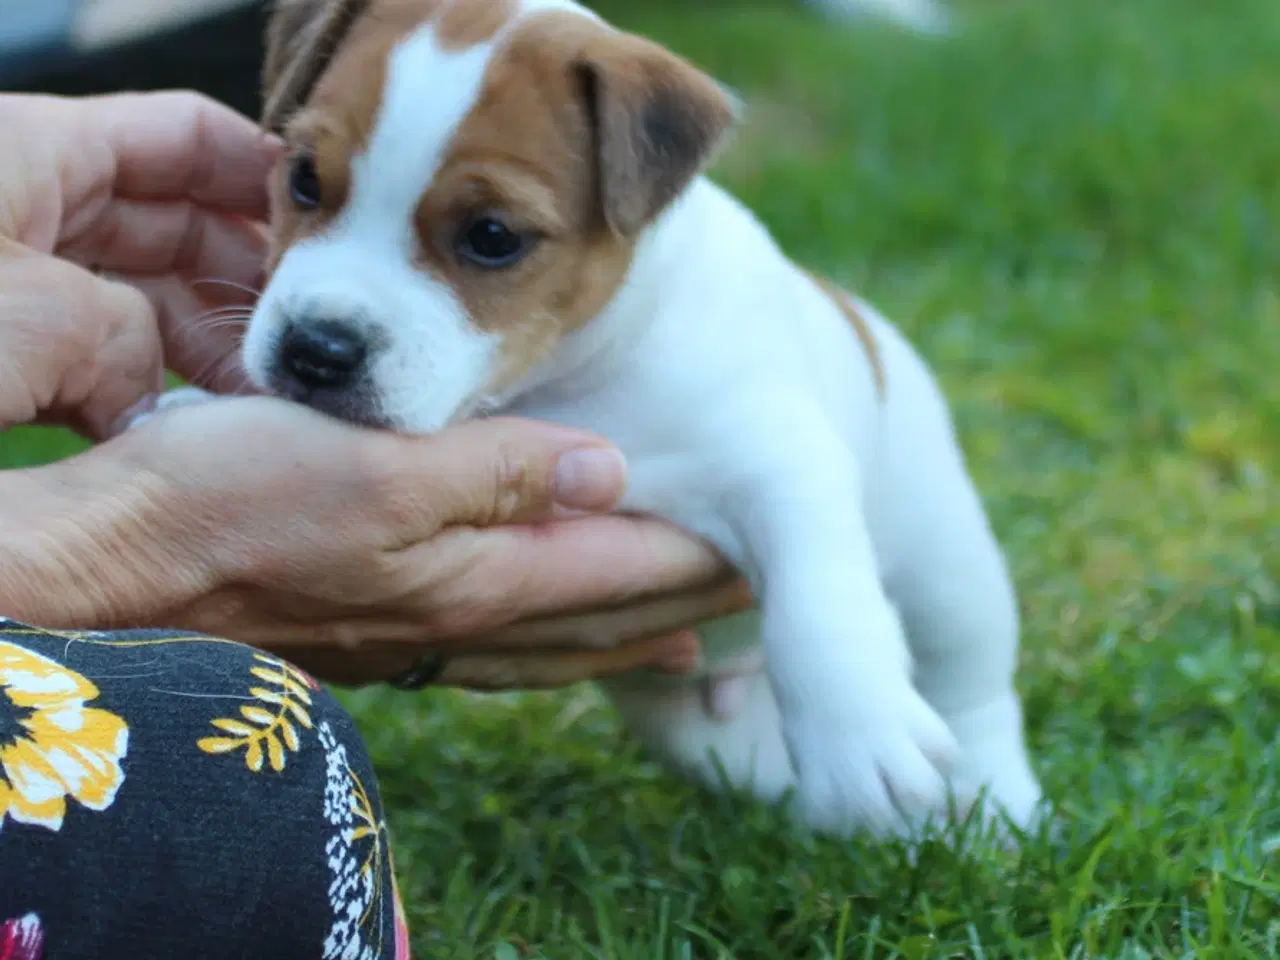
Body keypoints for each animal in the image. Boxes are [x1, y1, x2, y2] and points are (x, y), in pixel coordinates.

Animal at [149, 0, 1039, 839]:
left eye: (493, 237)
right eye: (304, 179)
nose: (316, 351)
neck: (569, 380)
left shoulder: (779, 461)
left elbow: (819, 593)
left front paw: (861, 735)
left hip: (949, 569)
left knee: (973, 688)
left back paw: (997, 813)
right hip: (689, 722)